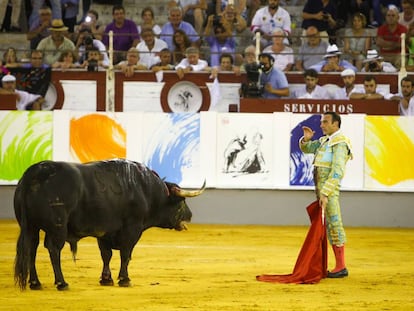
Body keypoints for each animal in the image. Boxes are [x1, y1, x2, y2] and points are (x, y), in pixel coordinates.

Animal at [13, 160, 205, 292]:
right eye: (182, 201)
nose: (190, 216)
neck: (146, 190)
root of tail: (35, 172)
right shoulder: (132, 229)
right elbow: (126, 254)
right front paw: (125, 279)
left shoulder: (104, 231)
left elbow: (106, 254)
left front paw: (106, 279)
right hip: (57, 226)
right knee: (53, 249)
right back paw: (62, 282)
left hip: (30, 227)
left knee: (31, 248)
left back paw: (35, 283)